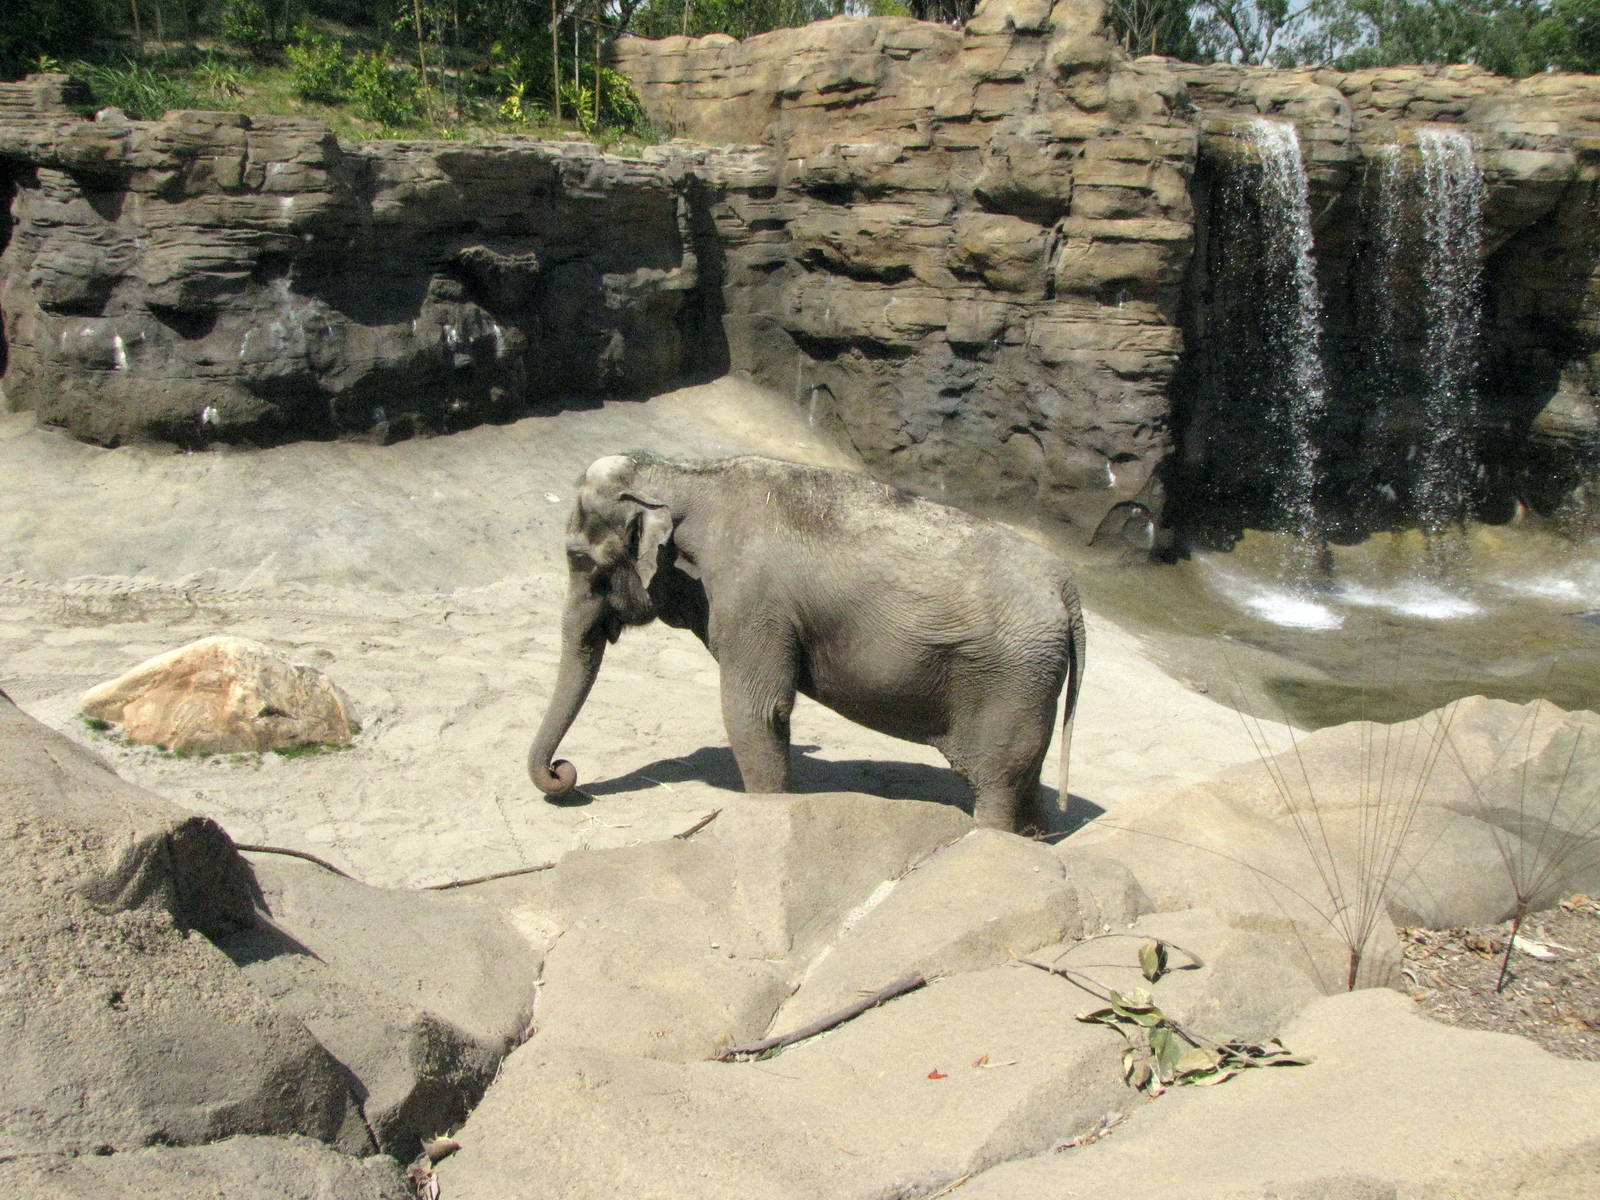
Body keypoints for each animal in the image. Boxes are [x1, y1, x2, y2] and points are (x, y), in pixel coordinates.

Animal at [527, 452, 1087, 833]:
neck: (685, 475)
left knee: (998, 782)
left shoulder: (753, 602)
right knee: (1026, 778)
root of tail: (1067, 586)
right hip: (1032, 683)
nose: (563, 772)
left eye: (579, 559)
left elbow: (755, 712)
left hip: (1011, 682)